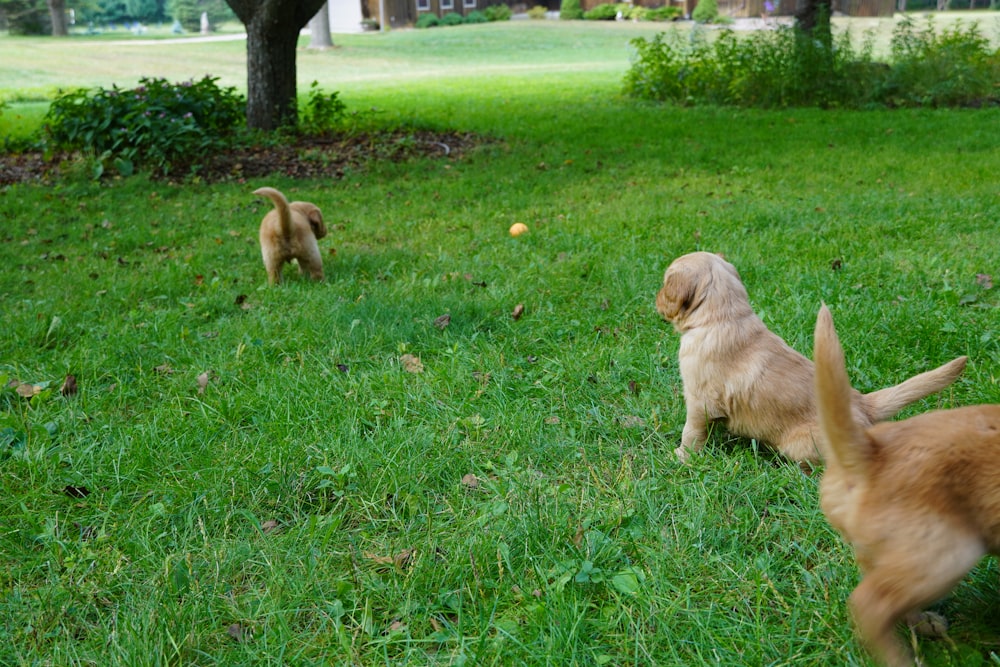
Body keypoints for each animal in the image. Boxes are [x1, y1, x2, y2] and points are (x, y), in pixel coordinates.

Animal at [652, 250, 964, 464]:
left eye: (665, 283)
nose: (655, 298)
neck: (724, 317)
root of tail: (863, 404)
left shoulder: (699, 400)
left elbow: (691, 432)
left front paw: (681, 456)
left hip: (801, 444)